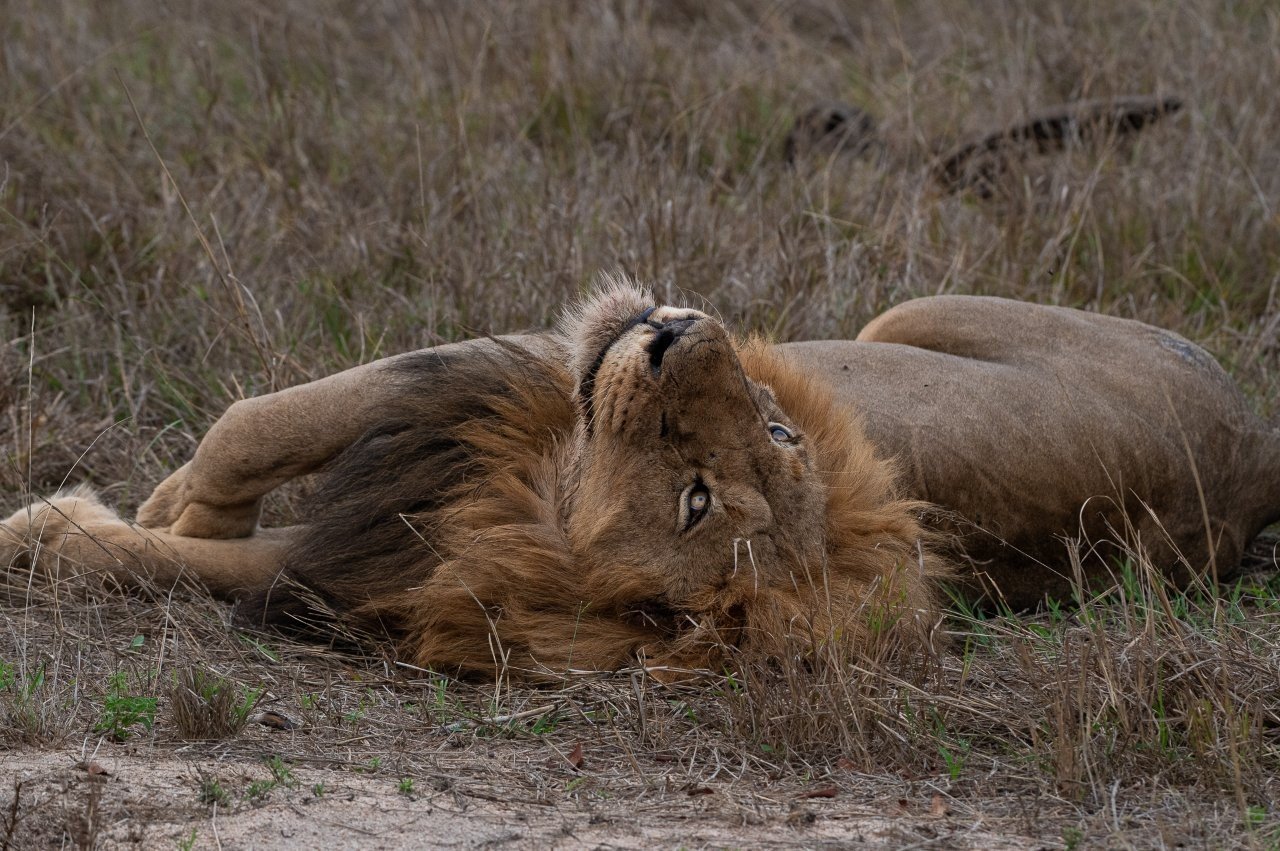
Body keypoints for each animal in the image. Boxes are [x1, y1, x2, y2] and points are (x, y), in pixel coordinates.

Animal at [4, 276, 1278, 678]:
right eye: (778, 427)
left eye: (695, 500)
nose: (675, 329)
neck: (533, 484)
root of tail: (1253, 470)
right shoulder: (458, 436)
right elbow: (253, 438)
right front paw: (171, 506)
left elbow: (215, 493)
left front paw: (56, 531)